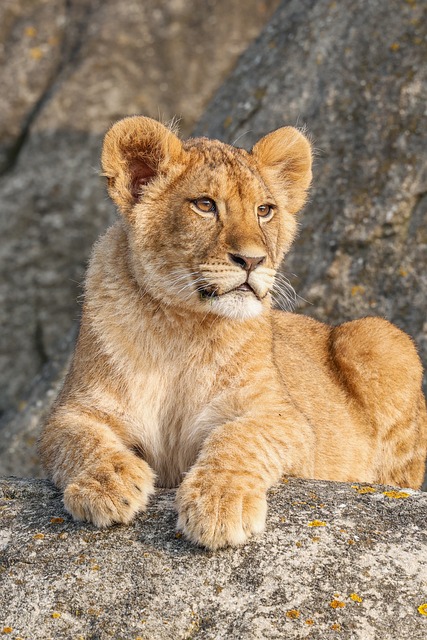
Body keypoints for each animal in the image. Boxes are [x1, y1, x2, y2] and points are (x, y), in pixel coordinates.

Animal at [39, 116, 427, 549]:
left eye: (265, 210)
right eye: (205, 205)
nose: (253, 260)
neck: (182, 326)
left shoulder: (284, 417)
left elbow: (239, 438)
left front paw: (221, 504)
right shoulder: (72, 412)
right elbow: (80, 441)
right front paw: (107, 485)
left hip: (379, 336)